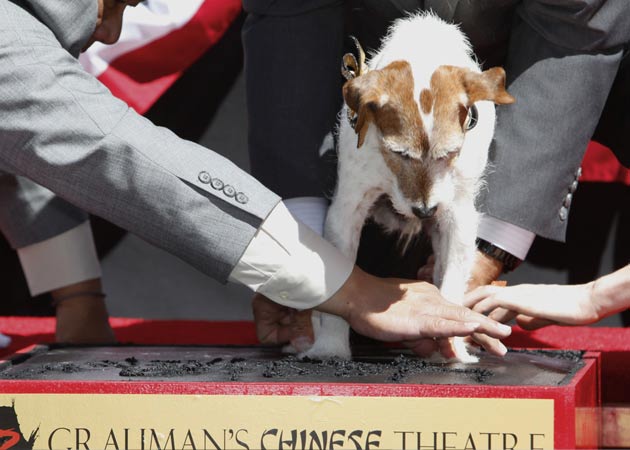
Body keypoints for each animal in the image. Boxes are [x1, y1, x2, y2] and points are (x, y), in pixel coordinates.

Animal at [306, 12, 520, 362]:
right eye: (399, 153)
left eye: (449, 153)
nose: (424, 210)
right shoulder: (346, 210)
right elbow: (340, 284)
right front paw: (330, 347)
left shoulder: (458, 219)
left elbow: (451, 287)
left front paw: (454, 349)